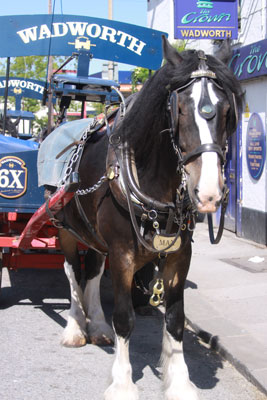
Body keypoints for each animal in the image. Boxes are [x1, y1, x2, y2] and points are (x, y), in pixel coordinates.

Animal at [47, 38, 244, 400]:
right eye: (179, 110)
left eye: (227, 112)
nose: (210, 193)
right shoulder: (122, 253)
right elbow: (124, 318)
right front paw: (122, 384)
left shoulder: (180, 254)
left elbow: (176, 318)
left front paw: (179, 382)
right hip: (64, 226)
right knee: (71, 271)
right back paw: (75, 326)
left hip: (93, 233)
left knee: (92, 270)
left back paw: (97, 324)